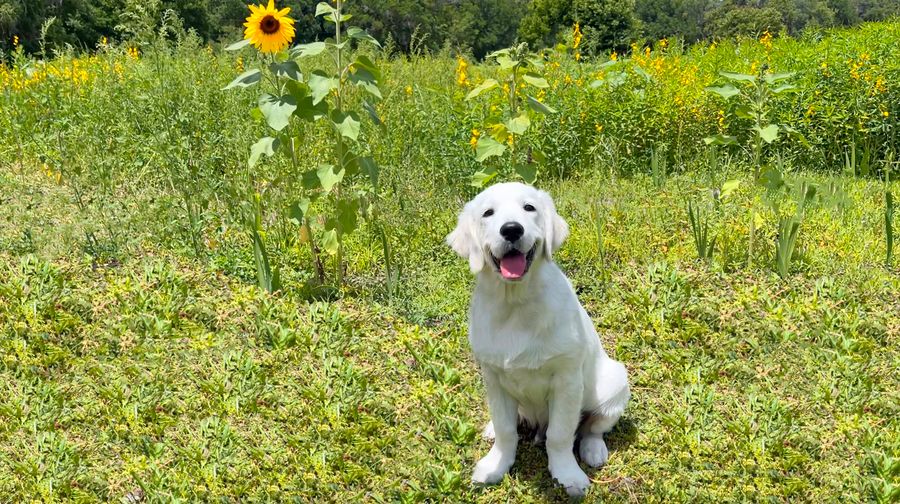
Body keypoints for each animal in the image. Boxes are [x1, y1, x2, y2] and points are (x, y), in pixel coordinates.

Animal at [446, 181, 628, 496]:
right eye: (488, 213)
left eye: (529, 208)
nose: (511, 229)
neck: (515, 303)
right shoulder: (493, 377)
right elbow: (506, 429)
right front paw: (496, 464)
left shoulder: (567, 380)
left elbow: (560, 434)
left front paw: (568, 474)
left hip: (615, 384)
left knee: (592, 427)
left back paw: (593, 450)